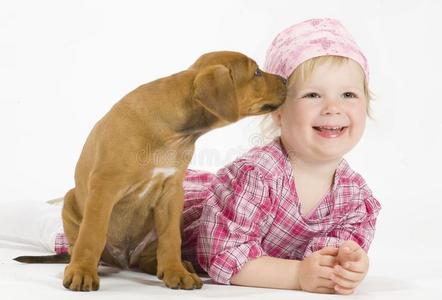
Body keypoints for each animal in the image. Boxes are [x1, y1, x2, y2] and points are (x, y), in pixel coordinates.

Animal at [57, 51, 286, 290]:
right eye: (257, 72)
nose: (286, 80)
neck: (174, 134)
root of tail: (124, 261)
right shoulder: (104, 186)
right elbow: (92, 234)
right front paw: (82, 271)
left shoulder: (172, 193)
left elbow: (170, 239)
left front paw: (176, 271)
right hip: (70, 200)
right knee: (81, 242)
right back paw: (78, 264)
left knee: (150, 255)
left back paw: (173, 265)